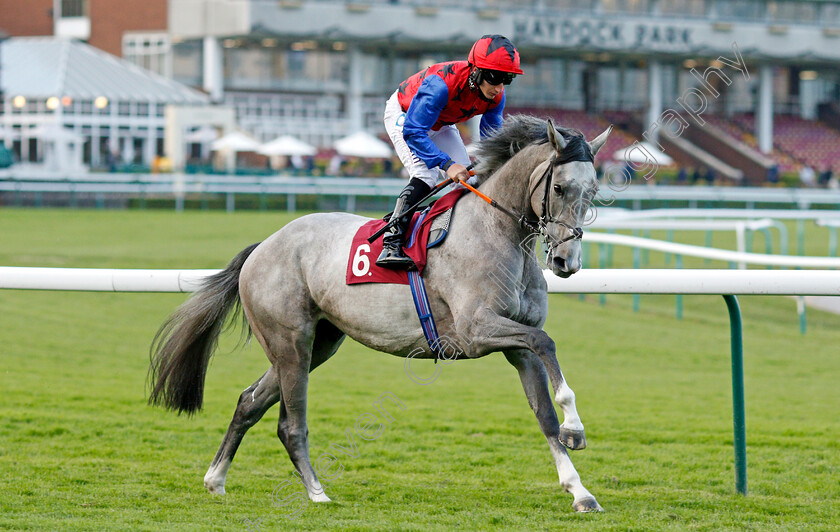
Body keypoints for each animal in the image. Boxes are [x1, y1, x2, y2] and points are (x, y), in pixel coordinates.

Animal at [149, 115, 612, 512]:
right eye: (560, 188)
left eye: (592, 192)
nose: (566, 261)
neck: (497, 232)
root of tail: (263, 246)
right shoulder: (476, 330)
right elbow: (547, 344)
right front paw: (576, 428)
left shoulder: (516, 343)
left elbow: (544, 411)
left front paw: (580, 491)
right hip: (290, 341)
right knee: (290, 423)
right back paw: (316, 492)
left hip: (317, 344)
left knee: (249, 402)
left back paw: (216, 479)